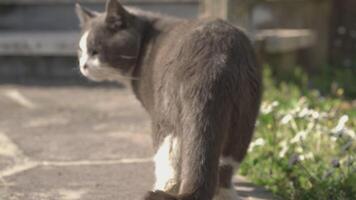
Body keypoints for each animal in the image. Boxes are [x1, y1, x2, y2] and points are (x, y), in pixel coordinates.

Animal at [76, 0, 262, 199]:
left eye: (95, 51)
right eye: (80, 51)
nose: (83, 65)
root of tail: (213, 60)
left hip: (166, 112)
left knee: (169, 159)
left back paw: (162, 188)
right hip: (244, 113)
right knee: (227, 161)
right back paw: (227, 194)